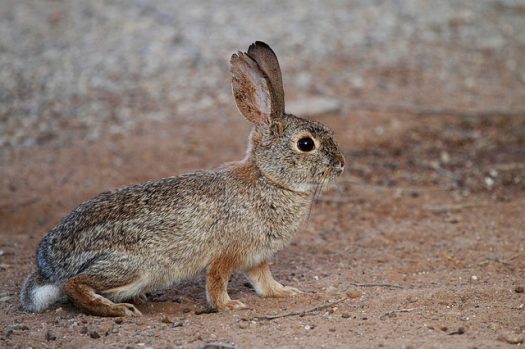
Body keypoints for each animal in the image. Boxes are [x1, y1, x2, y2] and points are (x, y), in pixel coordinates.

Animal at [20, 40, 346, 316]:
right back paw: (118, 309)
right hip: (135, 266)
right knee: (75, 284)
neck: (270, 179)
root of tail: (49, 267)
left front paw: (285, 292)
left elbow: (264, 281)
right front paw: (229, 306)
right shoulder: (225, 254)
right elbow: (216, 282)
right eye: (306, 144)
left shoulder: (256, 258)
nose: (341, 165)